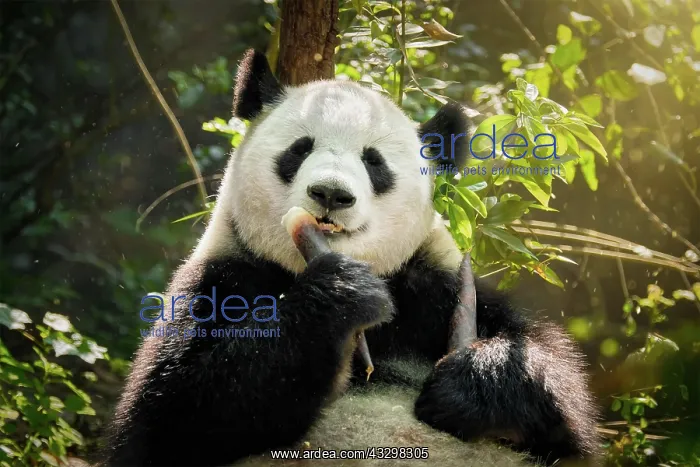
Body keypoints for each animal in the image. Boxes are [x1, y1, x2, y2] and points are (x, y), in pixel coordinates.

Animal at [102, 49, 600, 467]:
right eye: (300, 148)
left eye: (374, 162)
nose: (331, 194)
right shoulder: (224, 277)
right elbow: (168, 415)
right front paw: (341, 294)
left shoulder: (435, 285)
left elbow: (558, 392)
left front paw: (470, 382)